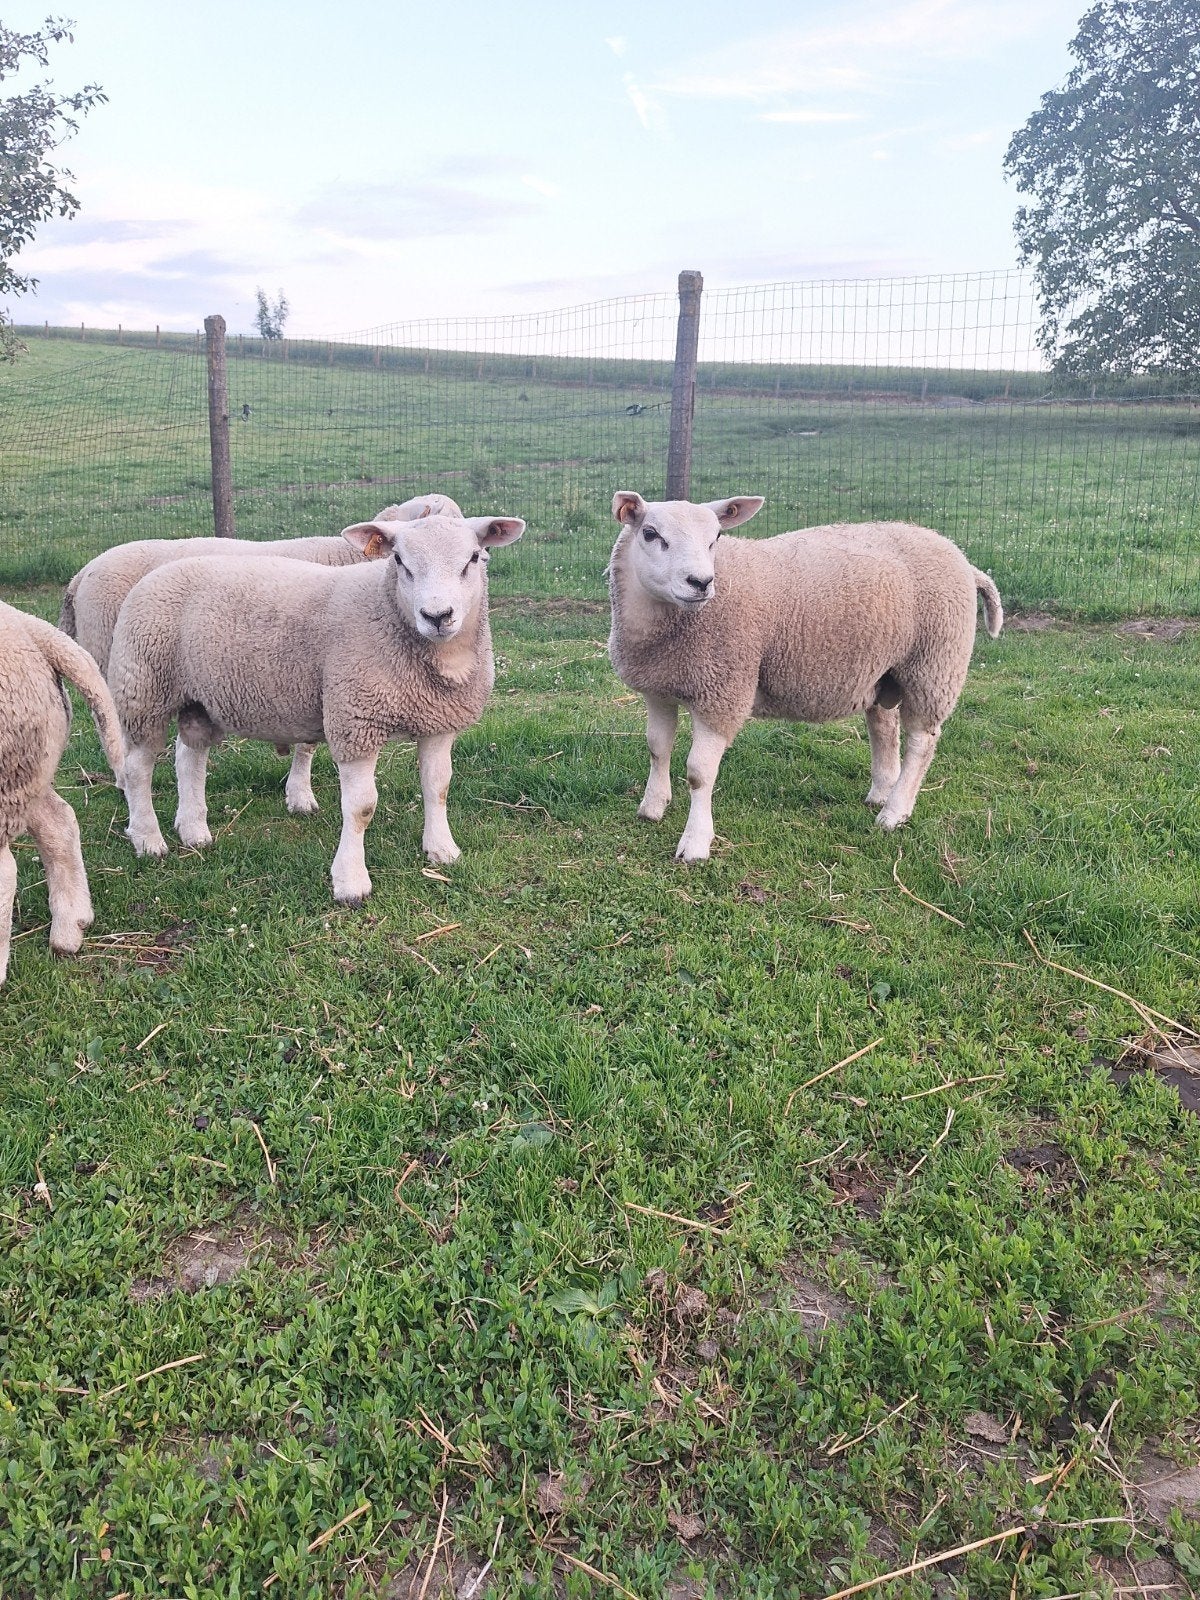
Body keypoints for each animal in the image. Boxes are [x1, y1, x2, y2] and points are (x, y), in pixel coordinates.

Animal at [58, 492, 462, 814]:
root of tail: (80, 574)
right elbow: (309, 744)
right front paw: (300, 795)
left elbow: (307, 742)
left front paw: (298, 794)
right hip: (121, 661)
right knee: (114, 726)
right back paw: (123, 782)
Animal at [108, 509, 524, 903]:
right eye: (399, 561)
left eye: (474, 557)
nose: (437, 616)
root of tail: (159, 571)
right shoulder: (355, 719)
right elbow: (361, 807)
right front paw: (351, 881)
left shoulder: (439, 720)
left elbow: (438, 787)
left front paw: (441, 850)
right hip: (143, 688)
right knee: (137, 769)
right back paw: (148, 839)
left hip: (199, 699)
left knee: (189, 757)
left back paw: (194, 831)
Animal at [606, 492, 1003, 862]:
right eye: (650, 533)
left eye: (716, 537)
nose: (701, 582)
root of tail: (964, 559)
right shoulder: (658, 689)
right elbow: (657, 748)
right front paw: (652, 807)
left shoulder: (723, 693)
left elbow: (699, 773)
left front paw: (695, 842)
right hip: (882, 668)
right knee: (884, 727)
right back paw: (880, 793)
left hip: (933, 664)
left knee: (921, 742)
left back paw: (894, 812)